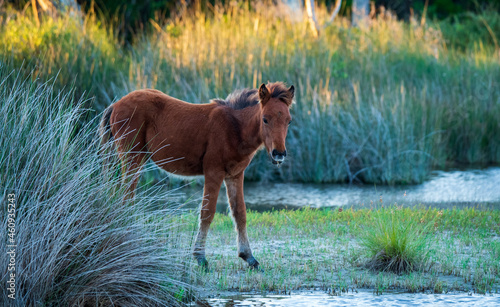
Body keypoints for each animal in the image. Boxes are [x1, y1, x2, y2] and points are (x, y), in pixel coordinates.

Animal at [99, 82, 294, 270]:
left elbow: (240, 213)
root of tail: (116, 104)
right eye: (265, 119)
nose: (279, 154)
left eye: (289, 121)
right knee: (125, 200)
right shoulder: (214, 172)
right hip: (132, 159)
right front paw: (201, 258)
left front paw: (249, 257)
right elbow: (207, 213)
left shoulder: (235, 175)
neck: (235, 127)